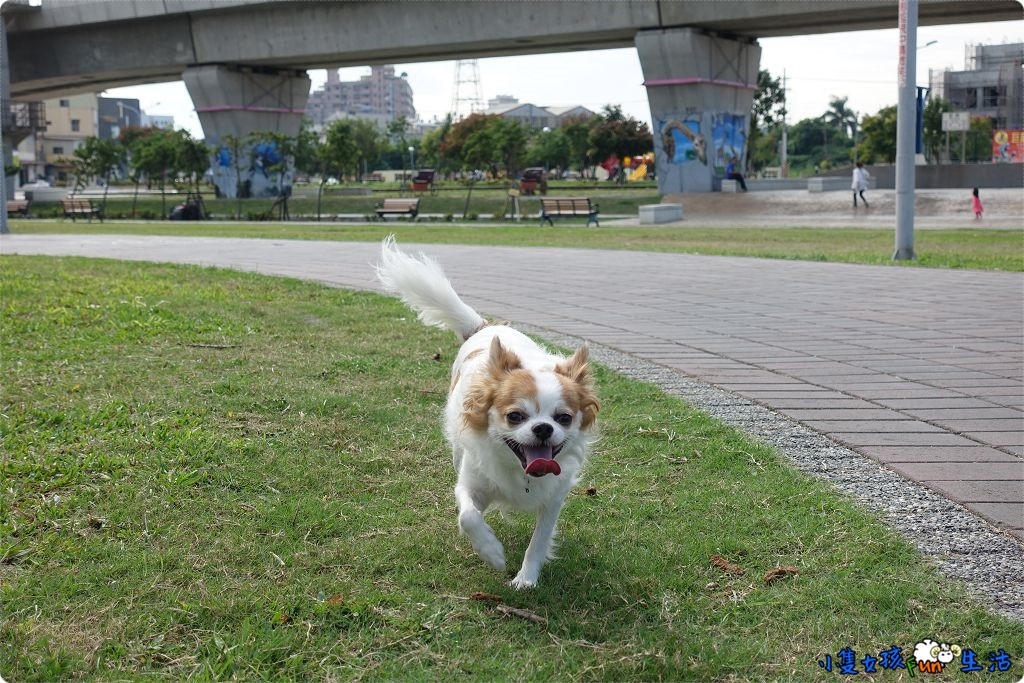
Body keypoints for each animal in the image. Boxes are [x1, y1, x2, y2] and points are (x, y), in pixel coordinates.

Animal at [376, 237, 598, 589]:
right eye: (515, 416)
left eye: (563, 418)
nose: (543, 429)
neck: (521, 471)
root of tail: (484, 327)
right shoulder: (471, 484)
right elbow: (468, 517)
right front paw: (492, 553)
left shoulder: (554, 498)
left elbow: (539, 539)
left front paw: (526, 578)